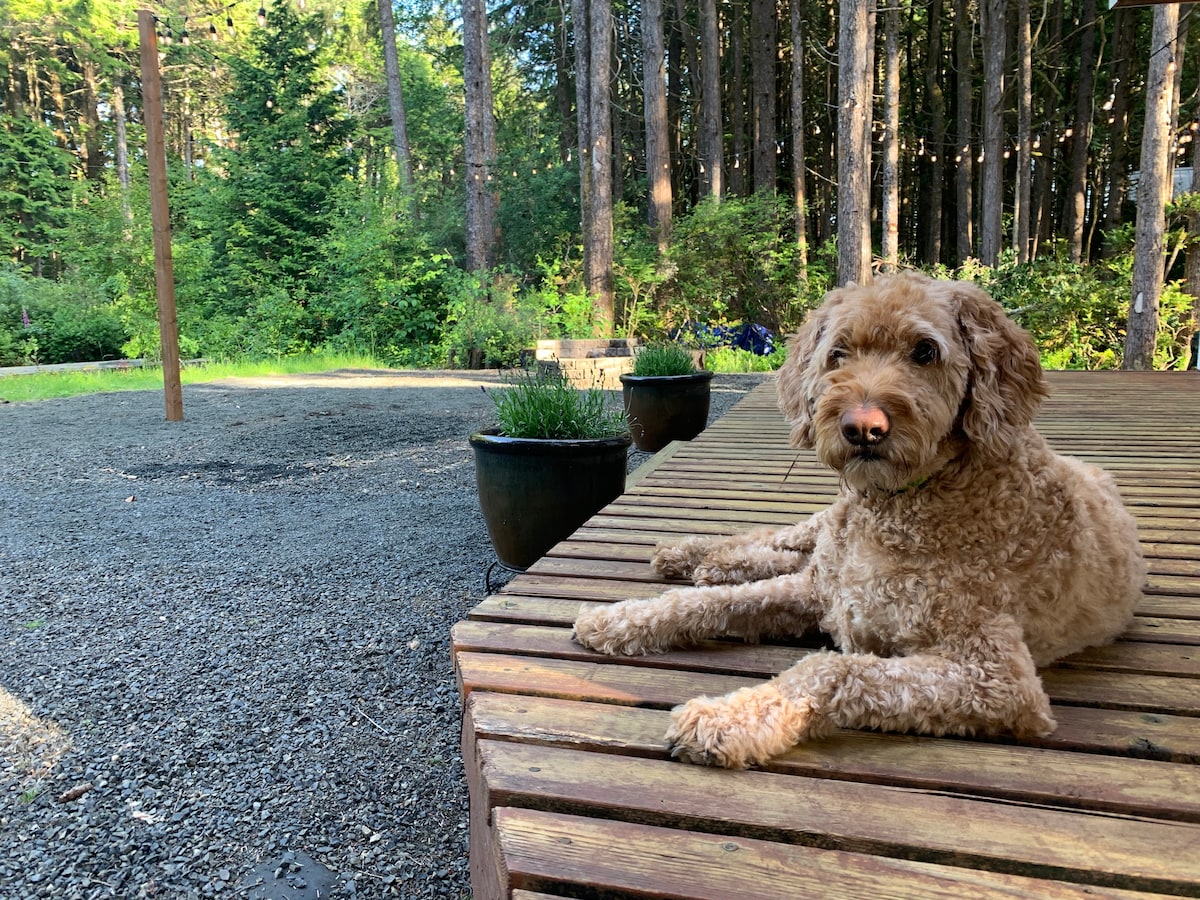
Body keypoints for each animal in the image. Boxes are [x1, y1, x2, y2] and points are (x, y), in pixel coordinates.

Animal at [571, 273, 1142, 768]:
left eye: (925, 351)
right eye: (838, 353)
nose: (862, 427)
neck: (896, 508)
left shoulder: (996, 679)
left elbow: (830, 668)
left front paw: (729, 719)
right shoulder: (823, 591)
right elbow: (711, 602)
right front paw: (620, 620)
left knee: (782, 556)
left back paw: (711, 562)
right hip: (822, 533)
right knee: (780, 540)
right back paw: (696, 554)